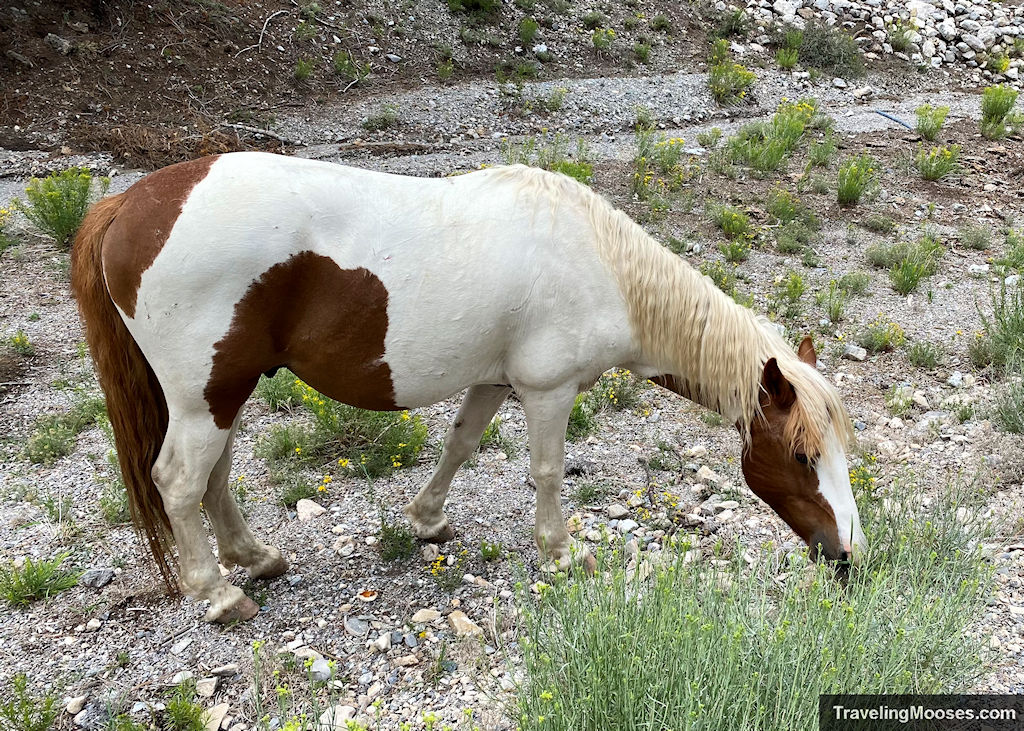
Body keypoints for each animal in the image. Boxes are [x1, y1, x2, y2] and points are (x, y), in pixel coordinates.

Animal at [70, 152, 864, 622]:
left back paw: (255, 558)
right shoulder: (547, 389)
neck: (602, 265)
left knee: (214, 479)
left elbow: (460, 444)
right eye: (802, 457)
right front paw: (561, 551)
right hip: (206, 395)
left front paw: (426, 520)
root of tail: (128, 204)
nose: (849, 554)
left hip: (219, 393)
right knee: (179, 481)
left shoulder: (493, 380)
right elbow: (546, 471)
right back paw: (219, 592)